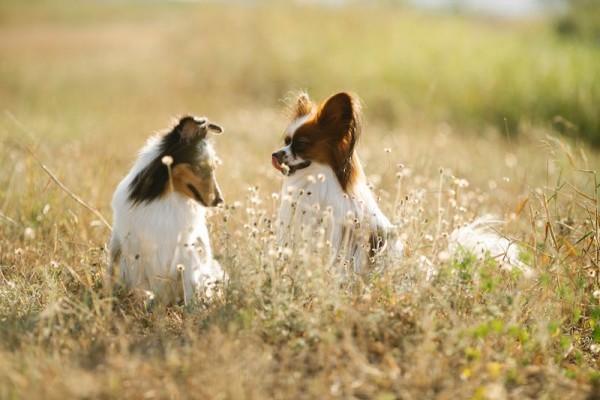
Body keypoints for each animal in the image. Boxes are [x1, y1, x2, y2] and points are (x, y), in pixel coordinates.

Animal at [109, 115, 226, 304]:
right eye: (200, 167)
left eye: (213, 168)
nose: (220, 201)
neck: (168, 197)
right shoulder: (134, 252)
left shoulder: (187, 253)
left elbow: (189, 289)